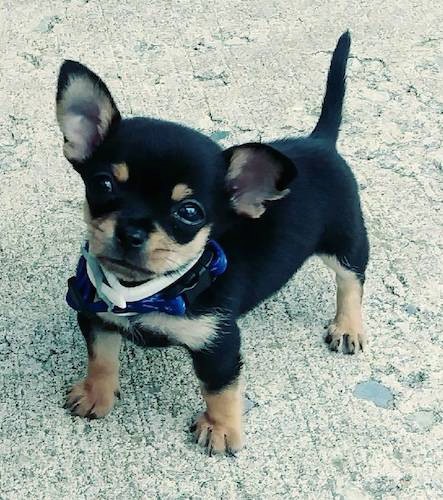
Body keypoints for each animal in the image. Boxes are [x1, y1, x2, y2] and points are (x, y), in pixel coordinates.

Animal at [58, 30, 372, 454]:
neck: (147, 291)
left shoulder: (218, 343)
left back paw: (348, 327)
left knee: (351, 280)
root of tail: (320, 141)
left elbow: (220, 390)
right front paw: (97, 393)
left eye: (190, 211)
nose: (130, 233)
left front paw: (222, 428)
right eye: (103, 184)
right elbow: (102, 357)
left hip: (345, 241)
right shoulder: (96, 315)